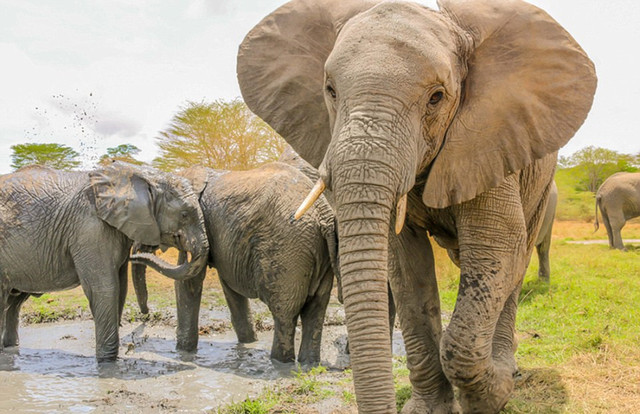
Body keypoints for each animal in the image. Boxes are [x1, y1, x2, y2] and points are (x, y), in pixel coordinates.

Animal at [0, 162, 210, 360]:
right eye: (185, 214)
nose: (146, 314)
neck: (140, 175)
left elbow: (121, 288)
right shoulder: (90, 229)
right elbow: (105, 288)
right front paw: (107, 362)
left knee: (13, 301)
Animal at [131, 163, 340, 366]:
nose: (146, 314)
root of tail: (323, 216)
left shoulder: (199, 225)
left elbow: (188, 283)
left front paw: (183, 353)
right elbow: (230, 288)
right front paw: (249, 342)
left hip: (287, 251)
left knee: (284, 315)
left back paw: (279, 363)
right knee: (316, 310)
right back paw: (309, 364)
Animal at [236, 0, 596, 410]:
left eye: (436, 97)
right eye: (329, 90)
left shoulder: (489, 139)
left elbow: (498, 247)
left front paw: (493, 397)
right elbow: (406, 269)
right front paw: (429, 408)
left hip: (539, 183)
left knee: (516, 264)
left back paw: (507, 369)